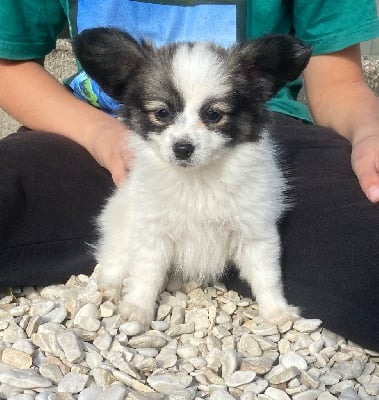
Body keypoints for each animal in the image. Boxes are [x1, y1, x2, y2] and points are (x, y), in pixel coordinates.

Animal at [73, 28, 312, 328]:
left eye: (214, 114)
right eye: (162, 113)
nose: (183, 148)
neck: (198, 179)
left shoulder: (255, 231)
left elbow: (266, 276)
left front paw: (276, 311)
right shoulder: (153, 232)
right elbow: (146, 273)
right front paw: (137, 308)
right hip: (122, 225)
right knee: (115, 259)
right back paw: (109, 288)